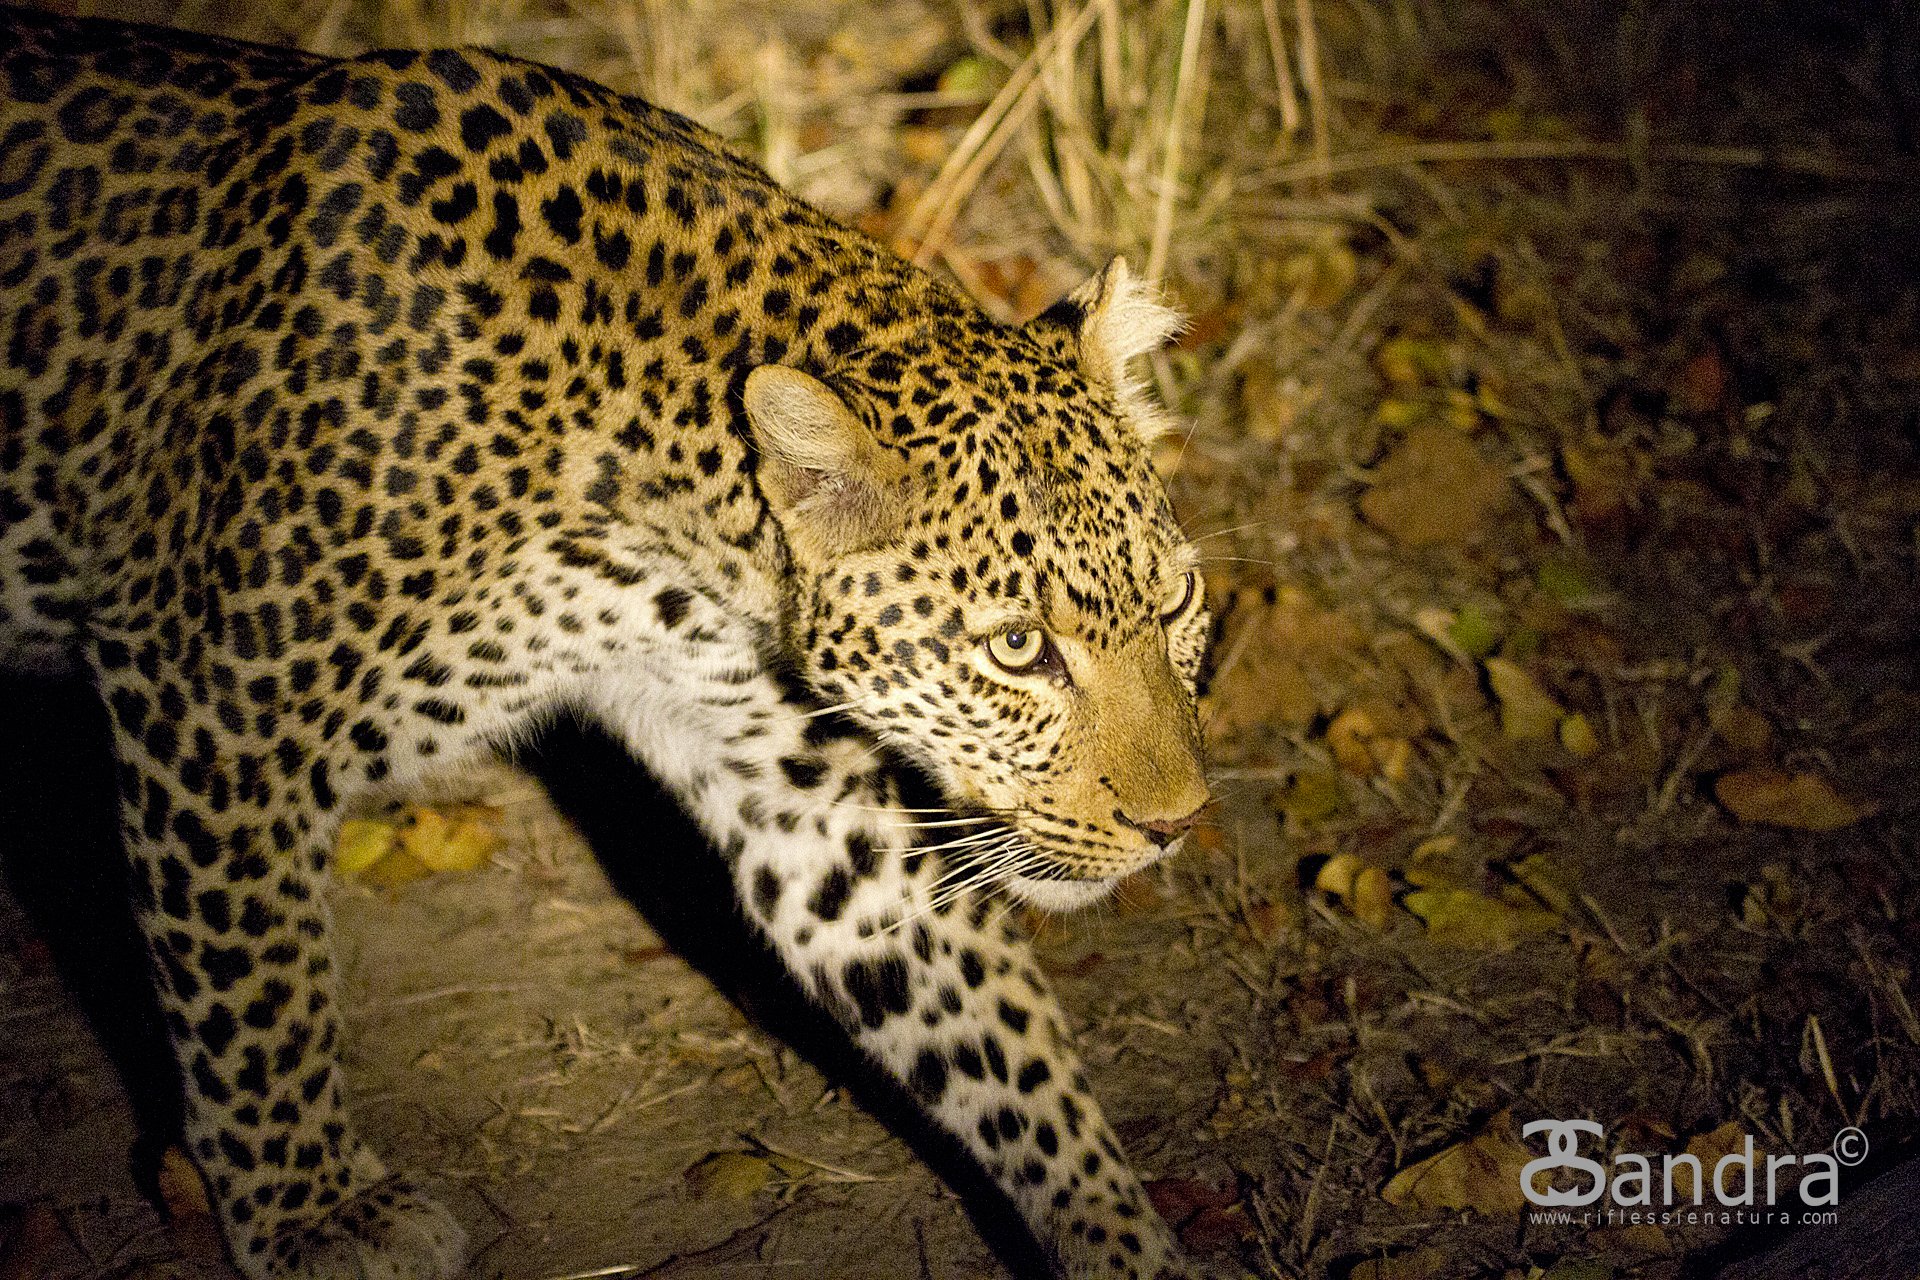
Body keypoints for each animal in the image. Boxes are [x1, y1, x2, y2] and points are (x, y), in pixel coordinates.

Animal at [0, 7, 1220, 1278]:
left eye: (1178, 599)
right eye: (1019, 647)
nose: (1177, 824)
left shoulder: (800, 786)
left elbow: (994, 1038)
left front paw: (1122, 1241)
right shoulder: (213, 709)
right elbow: (256, 989)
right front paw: (313, 1212)